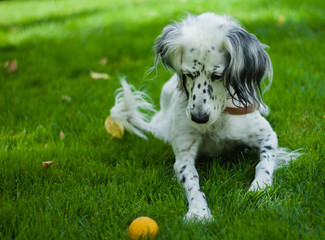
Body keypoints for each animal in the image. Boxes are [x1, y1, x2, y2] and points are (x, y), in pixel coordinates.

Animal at [110, 12, 300, 219]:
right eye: (188, 74)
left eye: (217, 75)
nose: (198, 118)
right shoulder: (183, 156)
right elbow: (192, 181)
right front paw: (198, 211)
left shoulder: (266, 135)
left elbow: (264, 163)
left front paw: (260, 187)